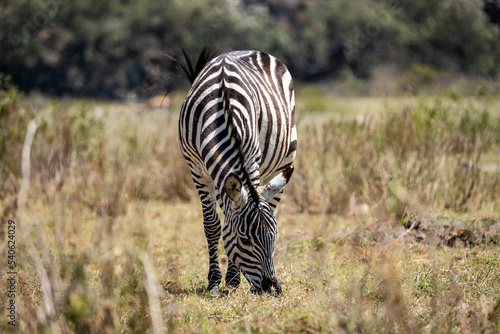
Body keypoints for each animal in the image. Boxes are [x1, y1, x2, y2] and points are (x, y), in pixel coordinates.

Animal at [175, 48, 294, 294]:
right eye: (245, 240)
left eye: (275, 236)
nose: (272, 288)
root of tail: (251, 51)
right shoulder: (197, 170)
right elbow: (213, 226)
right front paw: (213, 282)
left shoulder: (251, 159)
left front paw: (231, 278)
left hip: (285, 159)